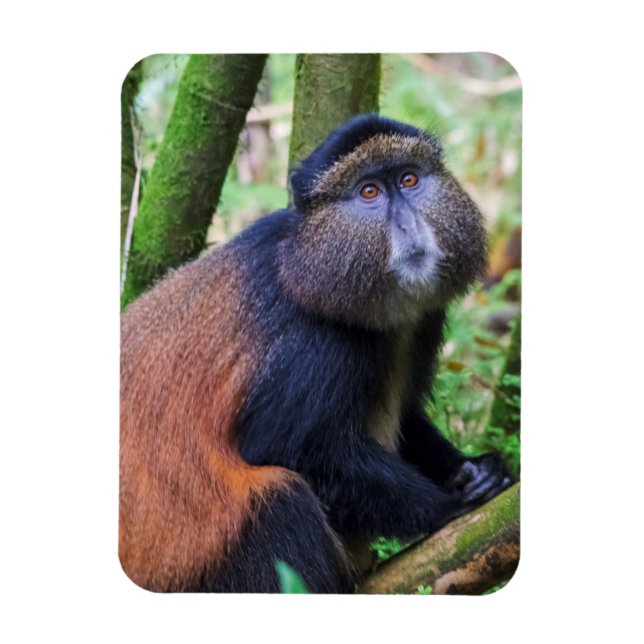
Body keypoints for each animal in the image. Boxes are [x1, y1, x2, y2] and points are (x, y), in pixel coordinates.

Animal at [120, 113, 513, 593]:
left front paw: (475, 469)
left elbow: (408, 419)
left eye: (408, 179)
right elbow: (283, 447)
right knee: (279, 500)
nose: (408, 226)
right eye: (369, 192)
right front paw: (448, 505)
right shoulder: (312, 343)